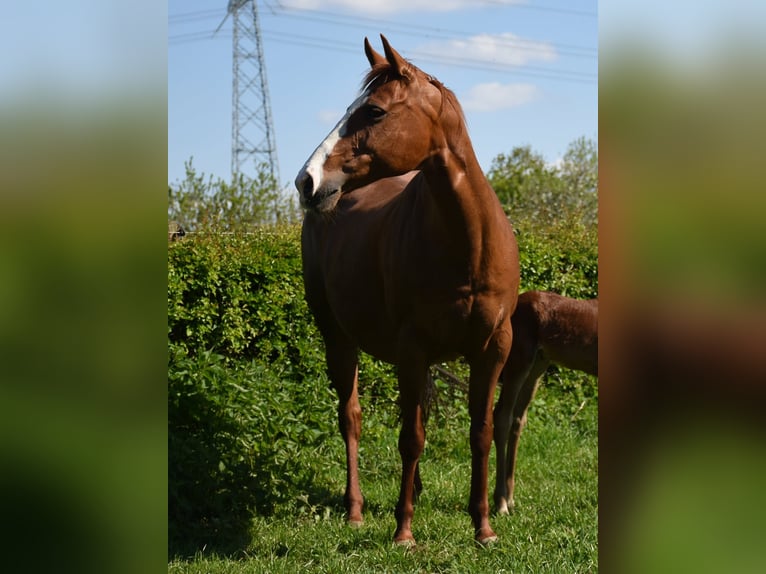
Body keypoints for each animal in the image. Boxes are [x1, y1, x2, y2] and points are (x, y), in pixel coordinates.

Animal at [295, 35, 519, 546]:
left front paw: (483, 526)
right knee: (352, 418)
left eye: (374, 111)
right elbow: (410, 439)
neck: (469, 244)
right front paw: (404, 531)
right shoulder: (412, 348)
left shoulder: (493, 348)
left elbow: (480, 433)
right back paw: (357, 509)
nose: (307, 182)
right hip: (338, 339)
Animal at [492, 291, 598, 515]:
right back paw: (501, 504)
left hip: (537, 366)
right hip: (519, 360)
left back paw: (510, 499)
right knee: (503, 416)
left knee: (518, 419)